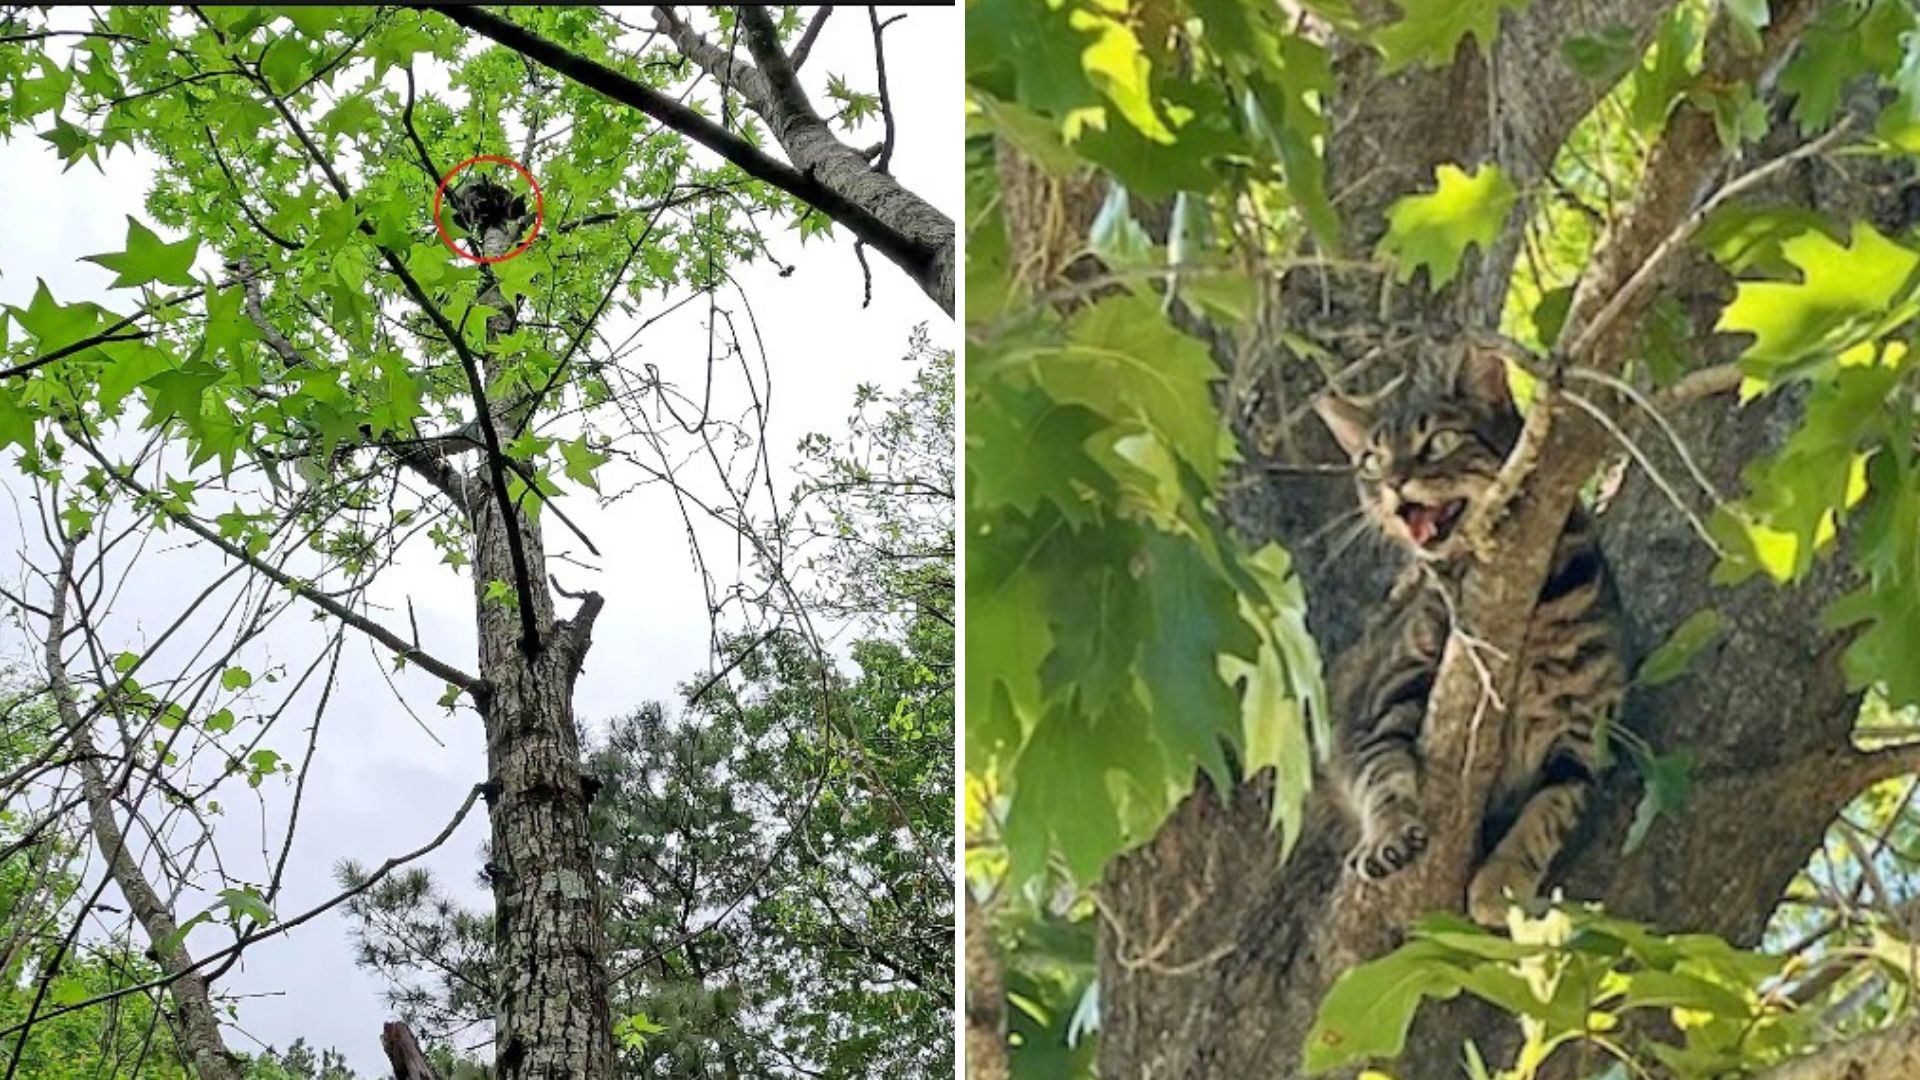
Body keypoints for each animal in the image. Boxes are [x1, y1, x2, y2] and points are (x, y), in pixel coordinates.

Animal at [1305, 345, 1620, 926]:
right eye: (1372, 460)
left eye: (1440, 442)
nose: (1394, 482)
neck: (1523, 614)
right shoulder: (1381, 698)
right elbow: (1381, 772)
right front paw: (1387, 834)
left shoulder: (1585, 738)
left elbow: (1548, 813)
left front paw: (1502, 884)